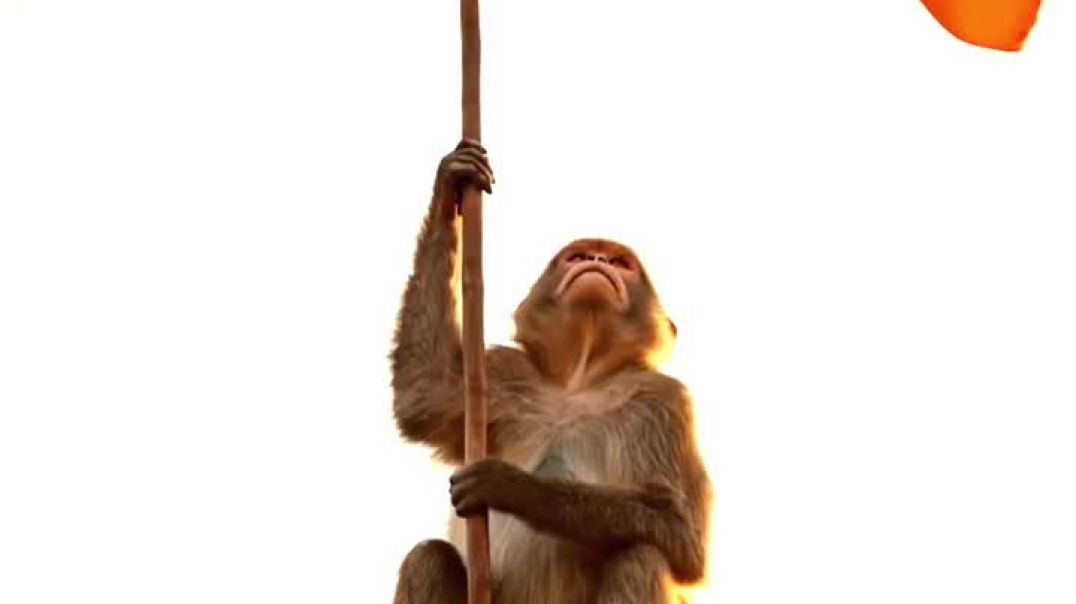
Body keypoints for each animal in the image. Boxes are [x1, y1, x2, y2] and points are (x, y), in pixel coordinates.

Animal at [389, 139, 711, 604]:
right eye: (578, 255)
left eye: (621, 263)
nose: (596, 259)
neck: (578, 382)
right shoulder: (508, 374)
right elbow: (424, 389)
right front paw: (452, 180)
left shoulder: (664, 401)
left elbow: (683, 537)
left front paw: (513, 487)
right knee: (427, 555)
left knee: (641, 553)